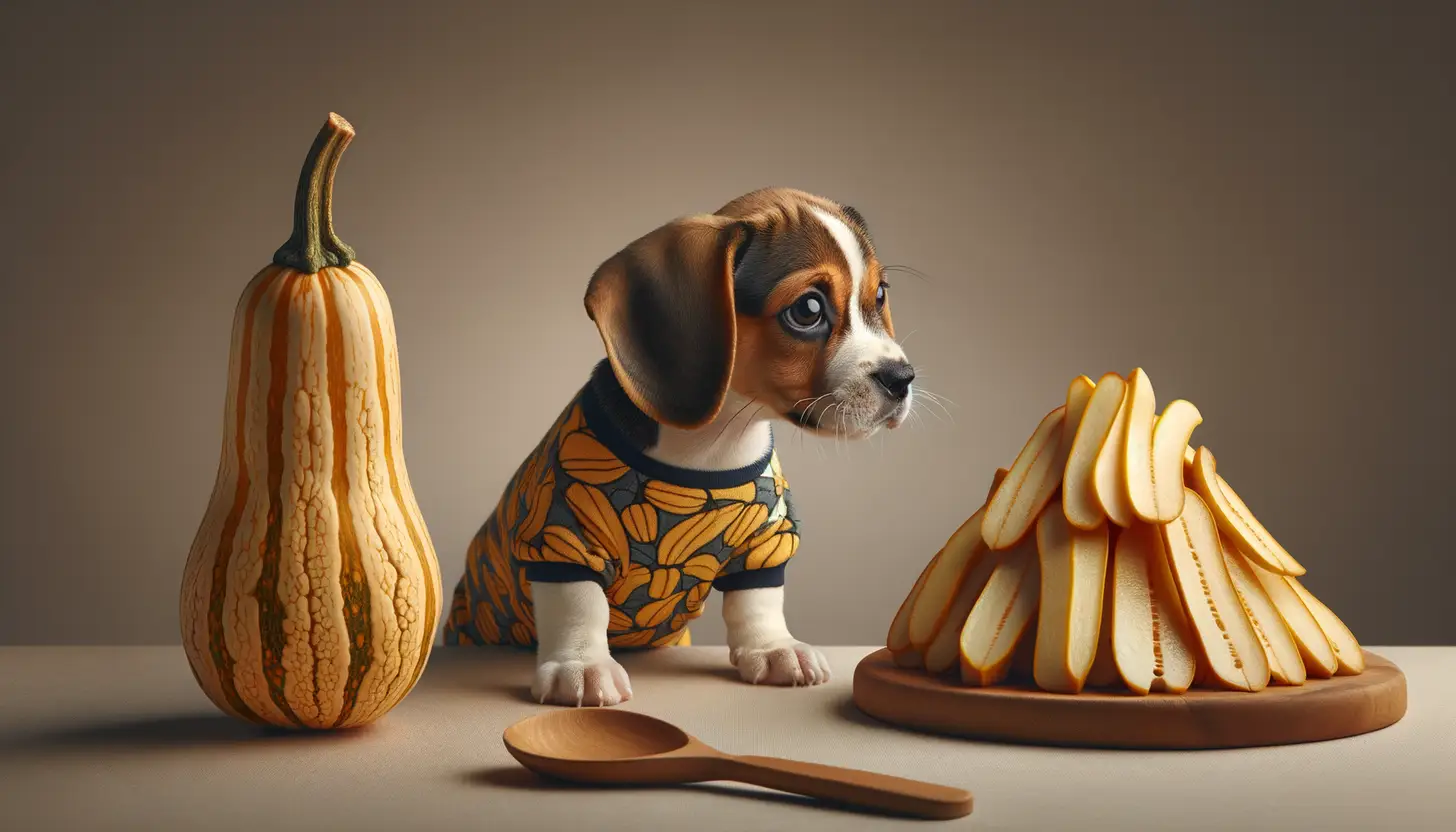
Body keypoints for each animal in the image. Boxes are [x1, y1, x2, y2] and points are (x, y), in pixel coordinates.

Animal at [448, 185, 914, 705]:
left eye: (879, 295)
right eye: (807, 310)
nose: (902, 378)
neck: (715, 444)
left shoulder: (767, 540)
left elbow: (759, 602)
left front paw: (773, 649)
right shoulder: (561, 537)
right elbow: (579, 606)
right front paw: (582, 666)